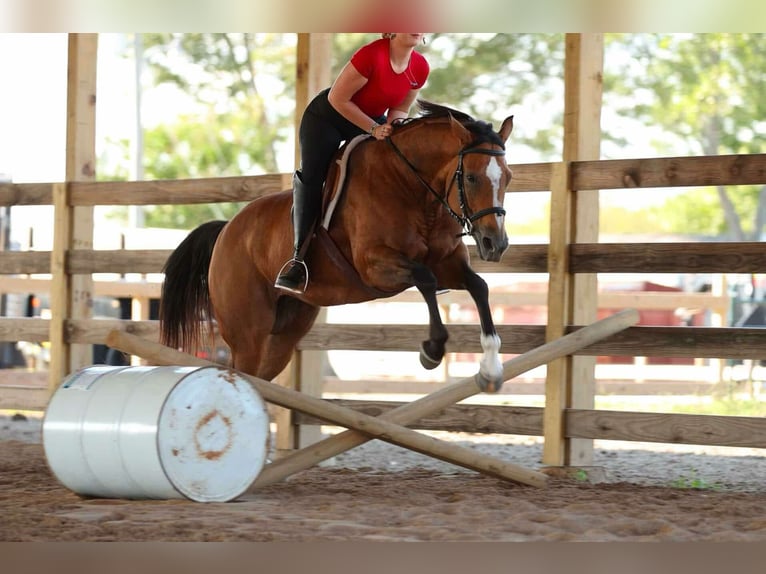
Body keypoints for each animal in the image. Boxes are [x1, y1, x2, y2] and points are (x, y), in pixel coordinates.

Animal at [159, 101, 514, 392]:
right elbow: (425, 279)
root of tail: (226, 230)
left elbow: (478, 286)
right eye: (471, 178)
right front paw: (432, 350)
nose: (494, 244)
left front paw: (491, 369)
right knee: (240, 371)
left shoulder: (447, 263)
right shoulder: (375, 265)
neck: (411, 186)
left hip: (285, 332)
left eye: (508, 177)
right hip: (248, 331)